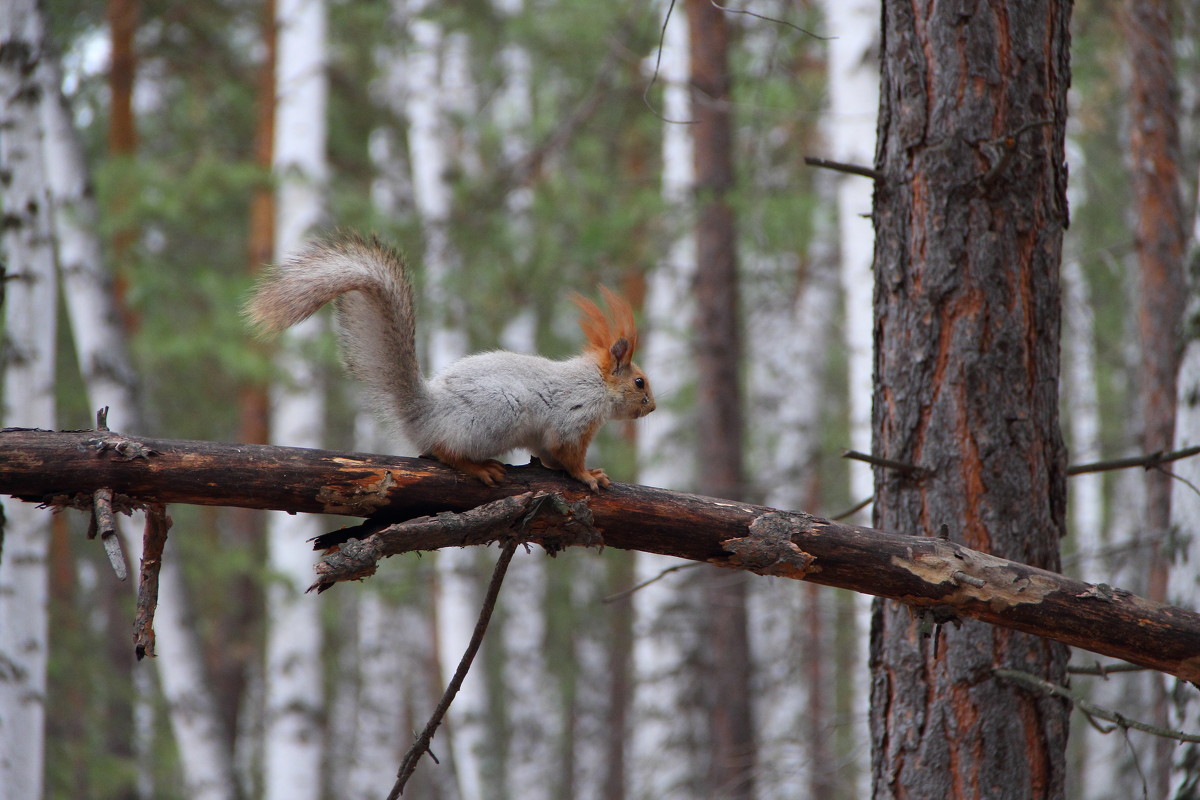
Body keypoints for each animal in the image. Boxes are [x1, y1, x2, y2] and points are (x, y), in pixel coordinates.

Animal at [244, 235, 657, 491]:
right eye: (640, 383)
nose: (652, 408)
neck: (597, 383)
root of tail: (425, 413)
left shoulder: (548, 436)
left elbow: (547, 455)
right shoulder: (575, 417)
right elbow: (568, 453)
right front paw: (589, 476)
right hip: (495, 415)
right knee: (446, 451)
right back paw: (478, 467)